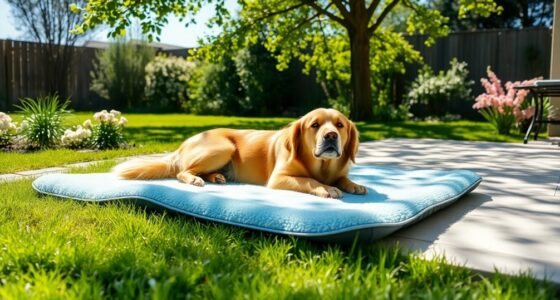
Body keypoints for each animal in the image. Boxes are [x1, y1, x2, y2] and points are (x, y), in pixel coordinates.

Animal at [114, 108, 368, 199]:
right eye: (315, 125)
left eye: (340, 125)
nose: (331, 136)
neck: (321, 165)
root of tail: (182, 145)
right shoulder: (279, 178)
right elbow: (309, 181)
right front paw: (327, 188)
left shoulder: (338, 171)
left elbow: (343, 177)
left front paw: (354, 184)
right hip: (224, 147)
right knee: (182, 171)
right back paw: (196, 179)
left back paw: (216, 177)